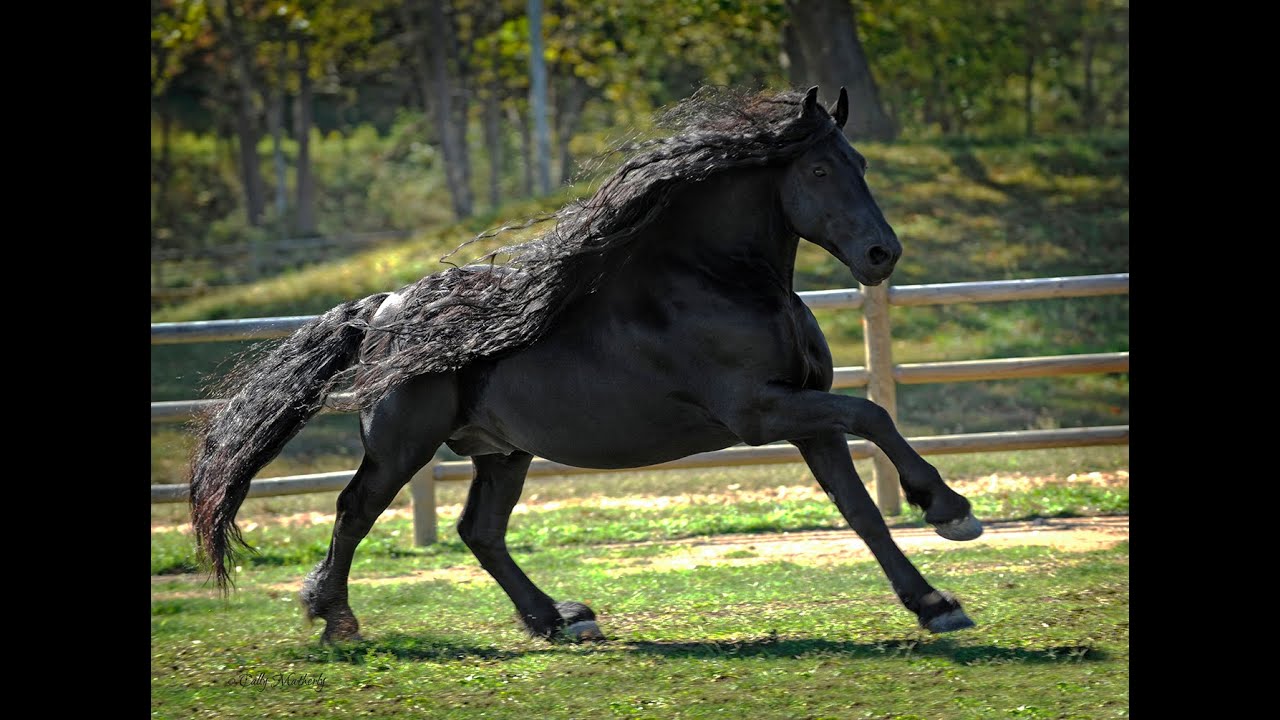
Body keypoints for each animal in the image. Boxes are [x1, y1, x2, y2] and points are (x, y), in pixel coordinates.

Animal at [186, 87, 977, 640]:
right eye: (817, 168)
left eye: (860, 164)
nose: (882, 255)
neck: (717, 281)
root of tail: (379, 309)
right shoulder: (762, 410)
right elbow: (874, 413)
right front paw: (949, 510)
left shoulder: (805, 414)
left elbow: (859, 507)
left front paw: (934, 602)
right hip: (402, 445)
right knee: (355, 511)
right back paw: (335, 619)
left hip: (502, 451)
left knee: (480, 531)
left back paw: (558, 619)